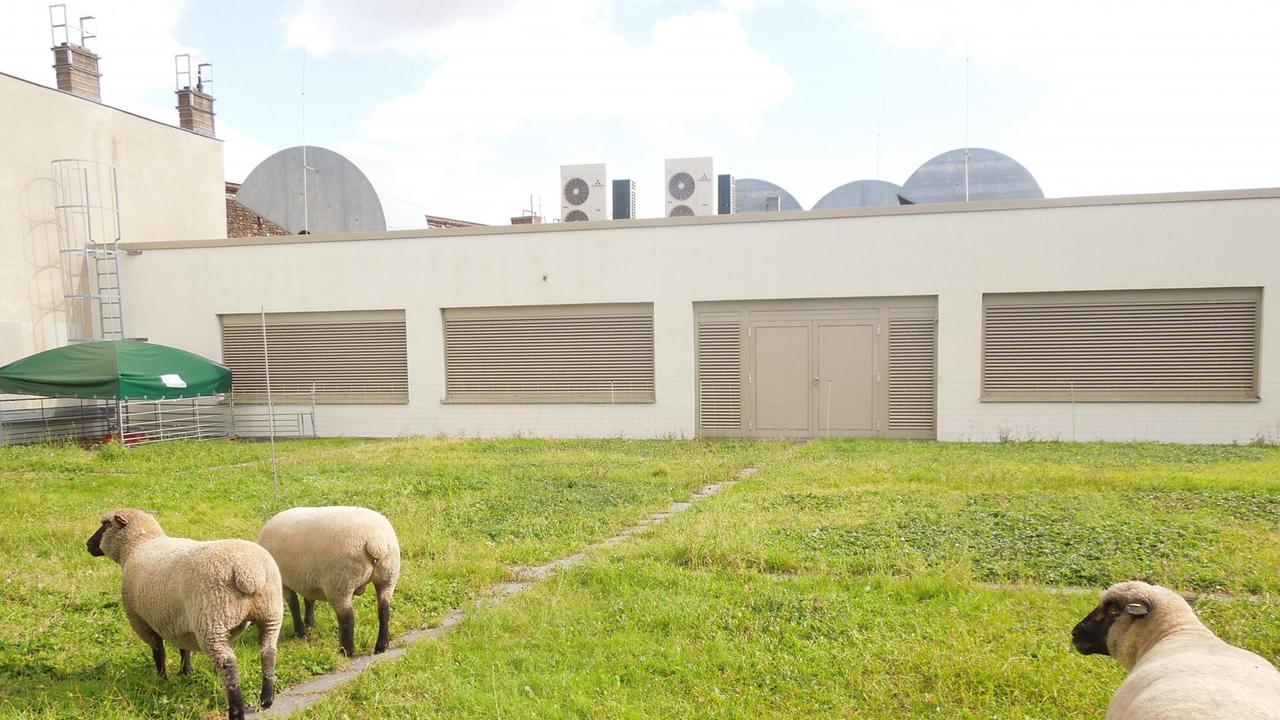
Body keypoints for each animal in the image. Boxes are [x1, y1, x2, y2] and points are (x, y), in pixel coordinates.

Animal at [87, 504, 282, 717]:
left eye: (105, 524)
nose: (88, 544)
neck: (138, 545)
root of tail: (248, 571)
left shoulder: (141, 620)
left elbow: (158, 651)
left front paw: (162, 678)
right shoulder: (179, 621)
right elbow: (184, 648)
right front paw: (185, 673)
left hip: (212, 621)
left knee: (227, 663)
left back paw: (236, 710)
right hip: (270, 613)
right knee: (268, 651)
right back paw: (266, 699)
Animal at [254, 504, 399, 655]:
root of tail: (375, 543)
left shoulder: (283, 583)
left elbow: (294, 604)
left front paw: (301, 632)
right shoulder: (308, 579)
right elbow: (308, 600)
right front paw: (309, 623)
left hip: (340, 583)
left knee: (348, 618)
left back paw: (346, 651)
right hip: (388, 576)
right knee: (384, 610)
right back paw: (381, 646)